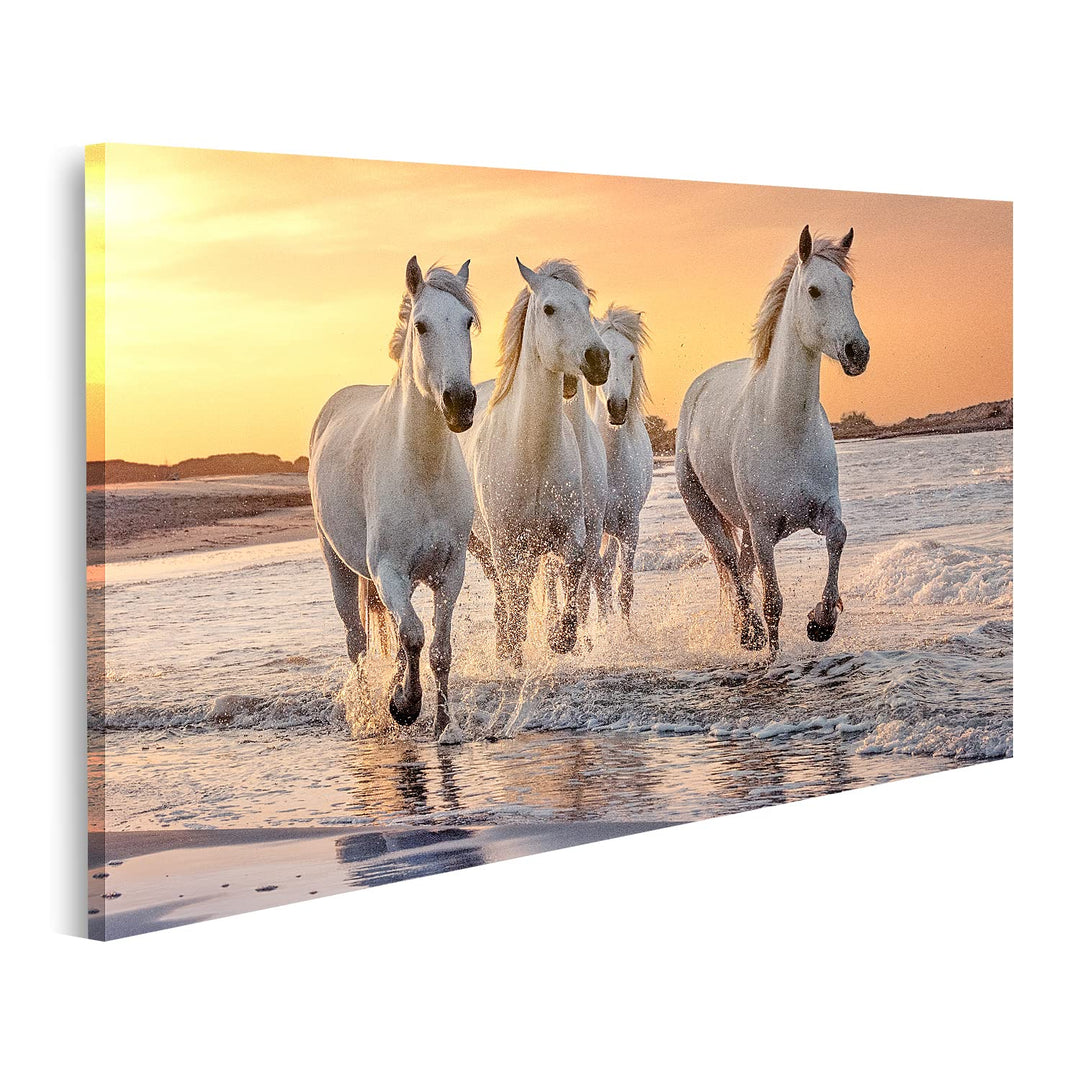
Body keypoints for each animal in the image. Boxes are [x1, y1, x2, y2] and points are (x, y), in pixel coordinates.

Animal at [308, 257, 479, 738]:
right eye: (421, 326)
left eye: (468, 322)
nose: (460, 403)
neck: (421, 470)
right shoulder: (389, 571)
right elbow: (414, 636)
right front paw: (404, 706)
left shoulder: (450, 571)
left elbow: (437, 648)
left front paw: (442, 726)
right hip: (340, 569)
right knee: (358, 643)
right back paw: (369, 710)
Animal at [459, 258, 610, 666]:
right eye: (549, 309)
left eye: (586, 305)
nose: (598, 360)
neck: (531, 455)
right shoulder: (507, 546)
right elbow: (517, 598)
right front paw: (514, 650)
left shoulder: (571, 535)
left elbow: (572, 580)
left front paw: (561, 638)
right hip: (482, 547)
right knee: (504, 592)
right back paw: (504, 646)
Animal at [675, 226, 870, 654]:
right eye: (814, 290)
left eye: (849, 285)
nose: (858, 352)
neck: (785, 428)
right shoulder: (764, 529)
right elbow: (773, 603)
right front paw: (774, 654)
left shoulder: (822, 511)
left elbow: (839, 537)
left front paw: (821, 622)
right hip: (706, 512)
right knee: (730, 563)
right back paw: (748, 632)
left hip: (745, 528)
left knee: (741, 567)